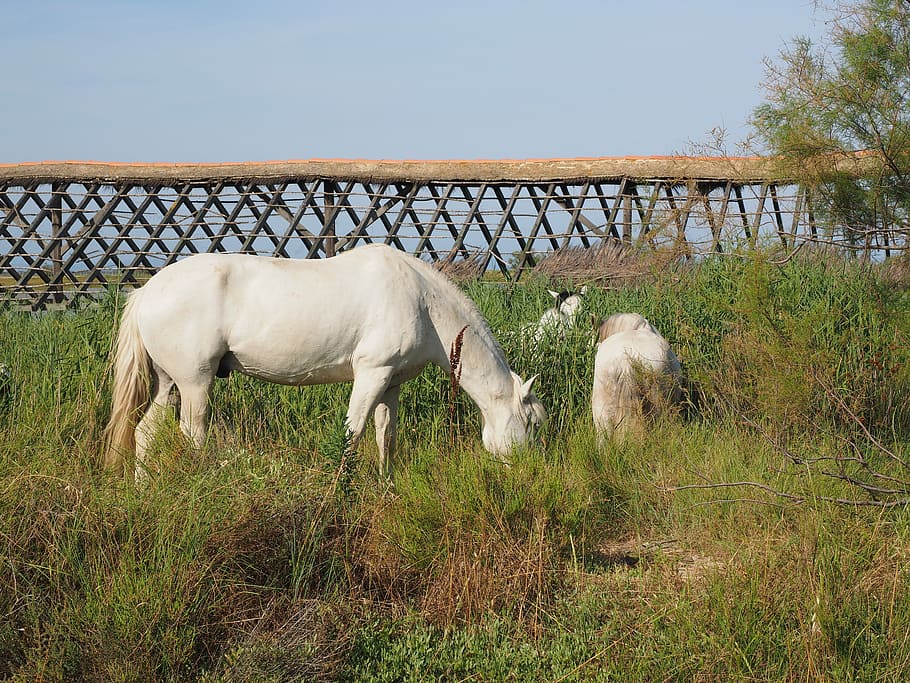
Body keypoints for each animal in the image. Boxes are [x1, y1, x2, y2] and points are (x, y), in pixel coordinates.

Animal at [107, 244, 548, 480]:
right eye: (532, 423)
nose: (529, 471)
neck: (422, 300)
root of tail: (147, 291)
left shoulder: (392, 383)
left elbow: (385, 435)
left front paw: (386, 485)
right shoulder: (371, 374)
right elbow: (353, 434)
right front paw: (341, 489)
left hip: (169, 382)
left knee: (145, 433)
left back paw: (142, 489)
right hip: (195, 383)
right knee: (192, 434)